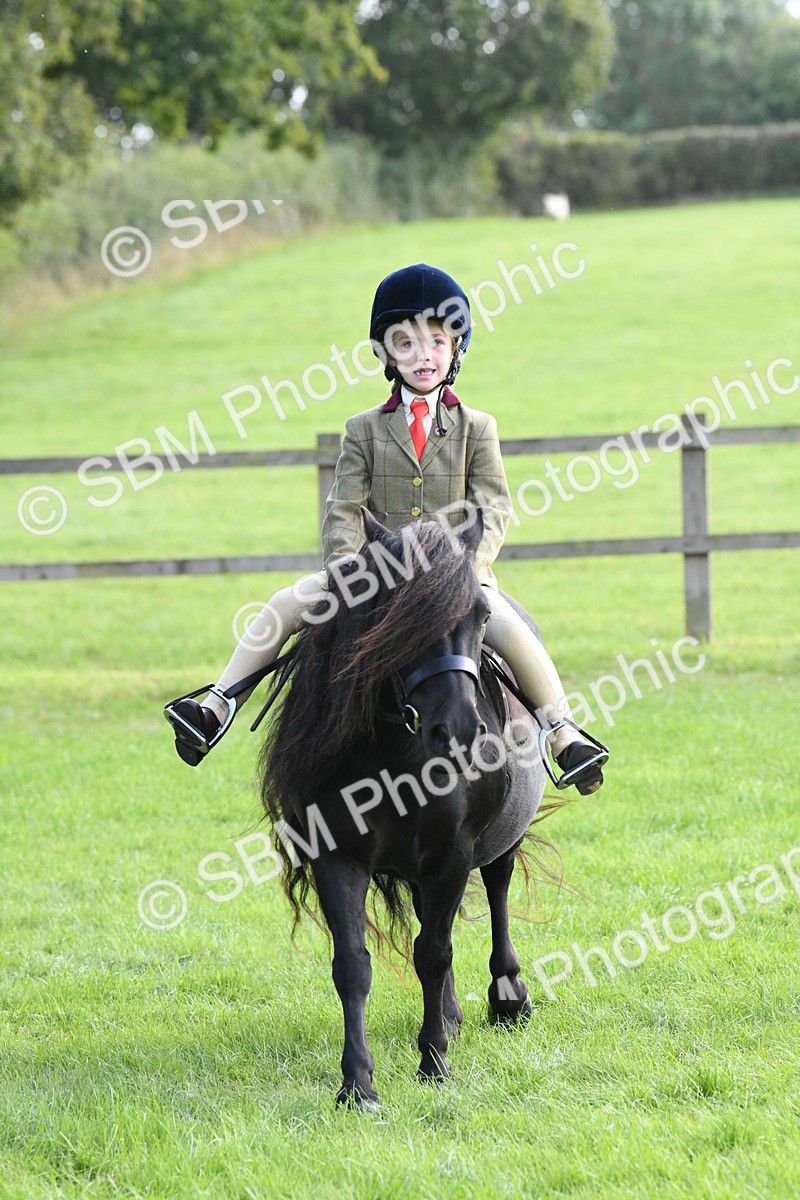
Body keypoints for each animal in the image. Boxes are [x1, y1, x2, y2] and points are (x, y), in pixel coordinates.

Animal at [259, 508, 548, 1110]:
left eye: (483, 615)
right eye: (397, 616)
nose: (459, 731)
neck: (399, 752)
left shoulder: (453, 854)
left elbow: (433, 953)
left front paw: (433, 1062)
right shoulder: (337, 855)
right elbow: (353, 965)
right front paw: (357, 1083)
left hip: (499, 842)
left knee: (497, 888)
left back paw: (507, 996)